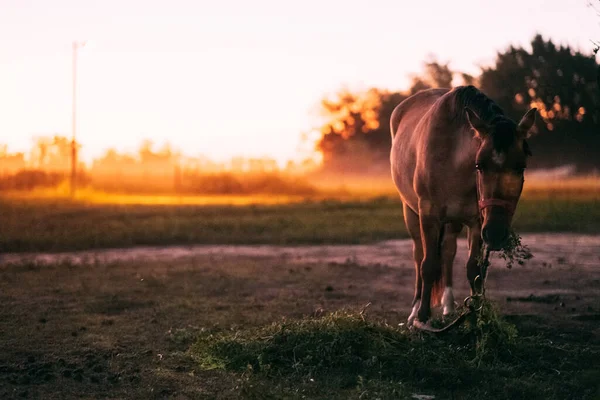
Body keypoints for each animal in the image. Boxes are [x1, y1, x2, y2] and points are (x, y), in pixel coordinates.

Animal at [390, 85, 540, 328]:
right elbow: (428, 265)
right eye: (479, 165)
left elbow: (474, 270)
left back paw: (448, 307)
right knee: (419, 255)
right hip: (410, 212)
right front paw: (422, 318)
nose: (496, 233)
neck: (452, 157)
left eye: (521, 166)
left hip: (454, 222)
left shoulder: (478, 222)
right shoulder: (428, 215)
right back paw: (414, 311)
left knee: (448, 252)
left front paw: (477, 315)